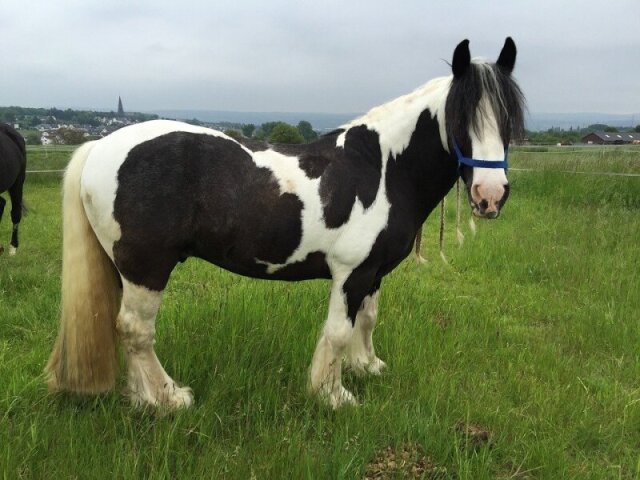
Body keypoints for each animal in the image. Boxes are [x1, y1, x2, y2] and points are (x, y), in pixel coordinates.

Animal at [46, 37, 524, 408]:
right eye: (460, 116)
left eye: (508, 119)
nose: (490, 195)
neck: (382, 168)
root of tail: (101, 145)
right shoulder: (350, 273)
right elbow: (338, 331)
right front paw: (333, 395)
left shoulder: (373, 272)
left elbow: (367, 320)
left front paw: (368, 367)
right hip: (146, 267)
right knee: (136, 331)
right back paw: (168, 399)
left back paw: (144, 397)